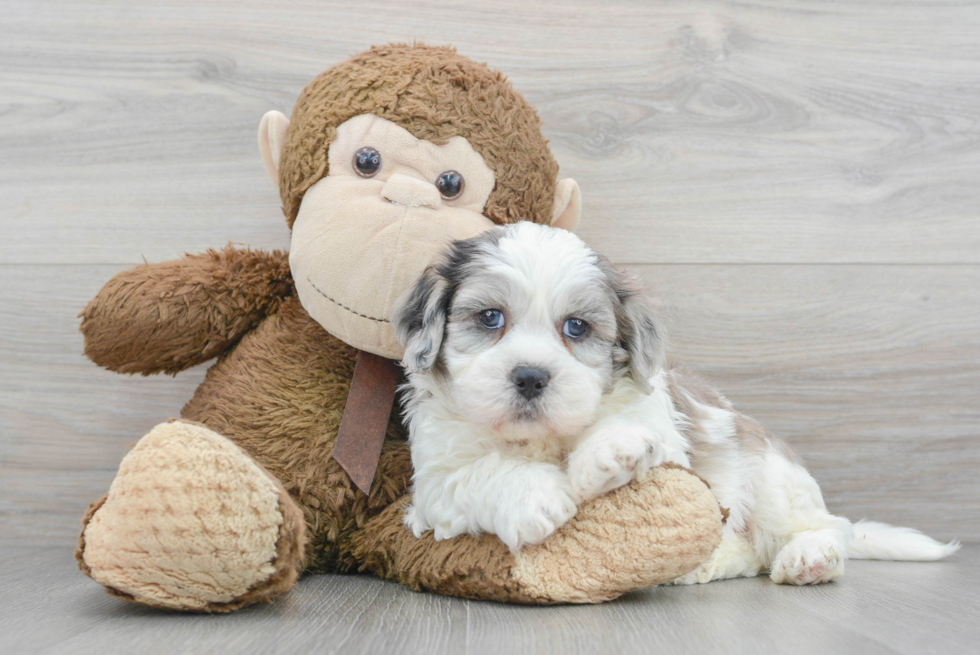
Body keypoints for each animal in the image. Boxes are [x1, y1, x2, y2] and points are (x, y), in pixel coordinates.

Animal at [390, 223, 956, 588]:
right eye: (490, 317)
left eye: (577, 327)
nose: (530, 376)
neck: (541, 438)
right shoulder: (434, 484)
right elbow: (478, 474)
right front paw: (536, 496)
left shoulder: (664, 428)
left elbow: (635, 428)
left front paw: (611, 449)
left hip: (771, 477)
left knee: (826, 526)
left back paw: (809, 556)